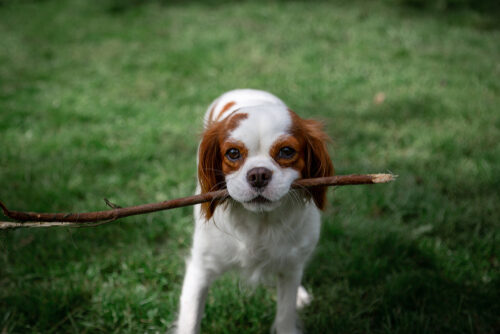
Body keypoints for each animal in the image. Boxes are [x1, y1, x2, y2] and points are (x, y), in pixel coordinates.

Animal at [174, 88, 334, 334]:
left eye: (286, 151)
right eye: (233, 153)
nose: (258, 175)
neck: (260, 222)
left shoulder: (290, 267)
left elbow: (286, 314)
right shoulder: (200, 269)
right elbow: (190, 322)